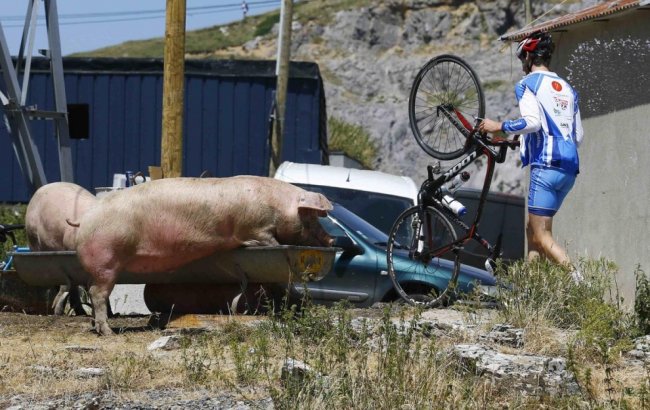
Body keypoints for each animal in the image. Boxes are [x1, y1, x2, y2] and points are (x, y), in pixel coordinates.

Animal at [73, 175, 332, 334]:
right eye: (310, 218)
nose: (332, 239)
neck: (277, 206)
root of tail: (85, 219)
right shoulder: (256, 227)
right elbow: (270, 241)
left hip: (99, 267)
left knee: (91, 291)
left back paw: (96, 327)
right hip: (107, 261)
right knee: (98, 294)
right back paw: (108, 332)